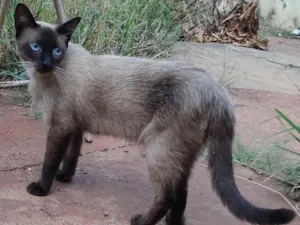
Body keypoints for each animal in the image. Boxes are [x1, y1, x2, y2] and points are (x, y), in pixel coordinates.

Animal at [14, 3, 296, 225]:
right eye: (36, 46)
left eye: (57, 51)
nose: (46, 63)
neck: (48, 77)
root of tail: (217, 90)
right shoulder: (76, 125)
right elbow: (72, 156)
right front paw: (65, 177)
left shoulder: (60, 126)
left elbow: (50, 160)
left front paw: (42, 188)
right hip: (181, 155)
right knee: (181, 196)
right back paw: (173, 224)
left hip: (159, 148)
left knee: (167, 196)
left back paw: (140, 221)